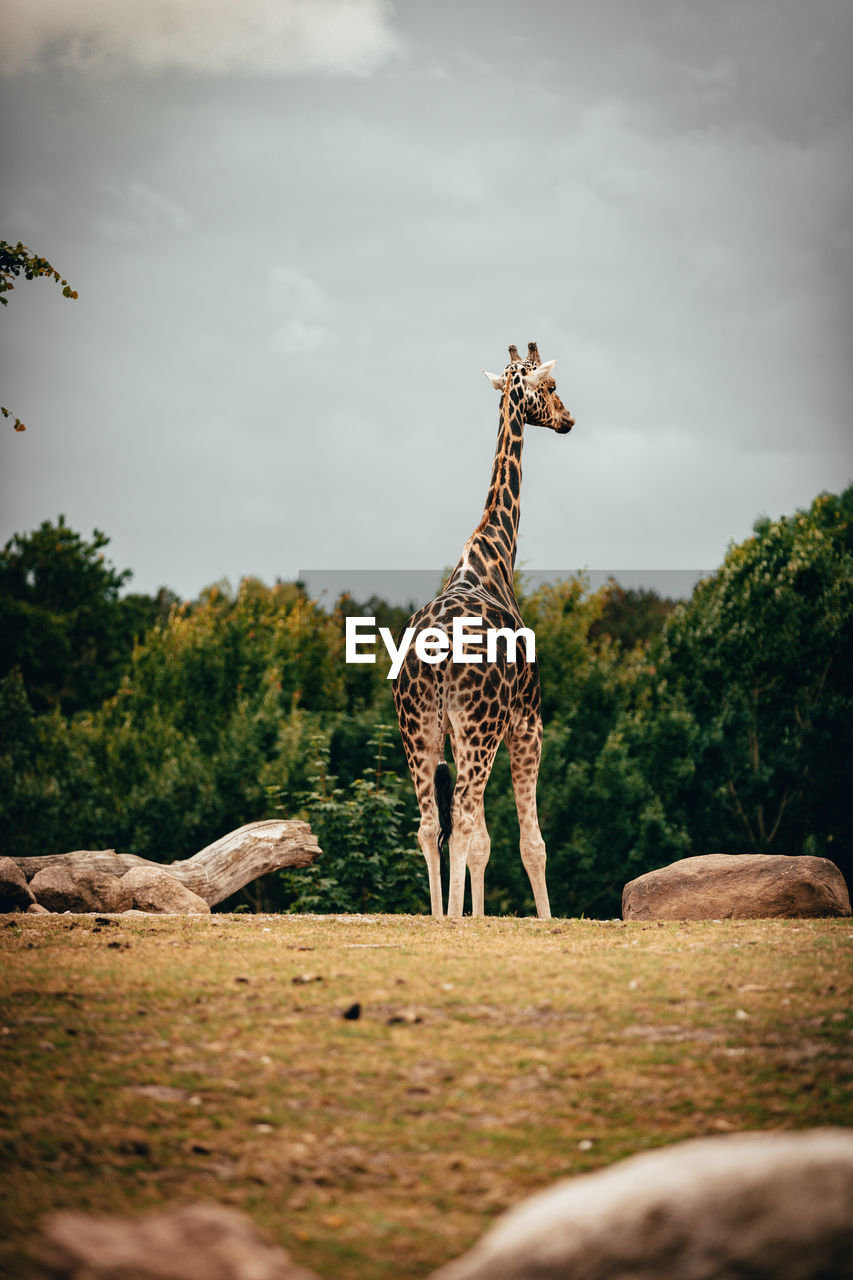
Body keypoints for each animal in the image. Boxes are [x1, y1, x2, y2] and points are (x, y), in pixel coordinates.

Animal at [391, 343, 571, 921]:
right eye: (551, 385)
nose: (568, 419)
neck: (492, 559)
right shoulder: (528, 721)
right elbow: (529, 841)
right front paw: (541, 919)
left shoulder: (453, 728)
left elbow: (481, 840)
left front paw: (475, 915)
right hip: (481, 725)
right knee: (465, 818)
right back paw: (450, 920)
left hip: (419, 725)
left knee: (431, 823)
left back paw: (437, 917)